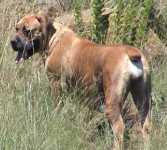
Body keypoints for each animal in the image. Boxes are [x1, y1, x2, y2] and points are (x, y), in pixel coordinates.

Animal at [10, 11, 151, 149]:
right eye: (16, 28)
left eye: (27, 30)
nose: (12, 41)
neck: (53, 39)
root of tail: (130, 52)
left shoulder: (56, 84)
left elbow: (57, 106)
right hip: (142, 100)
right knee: (146, 126)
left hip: (112, 102)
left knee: (119, 128)